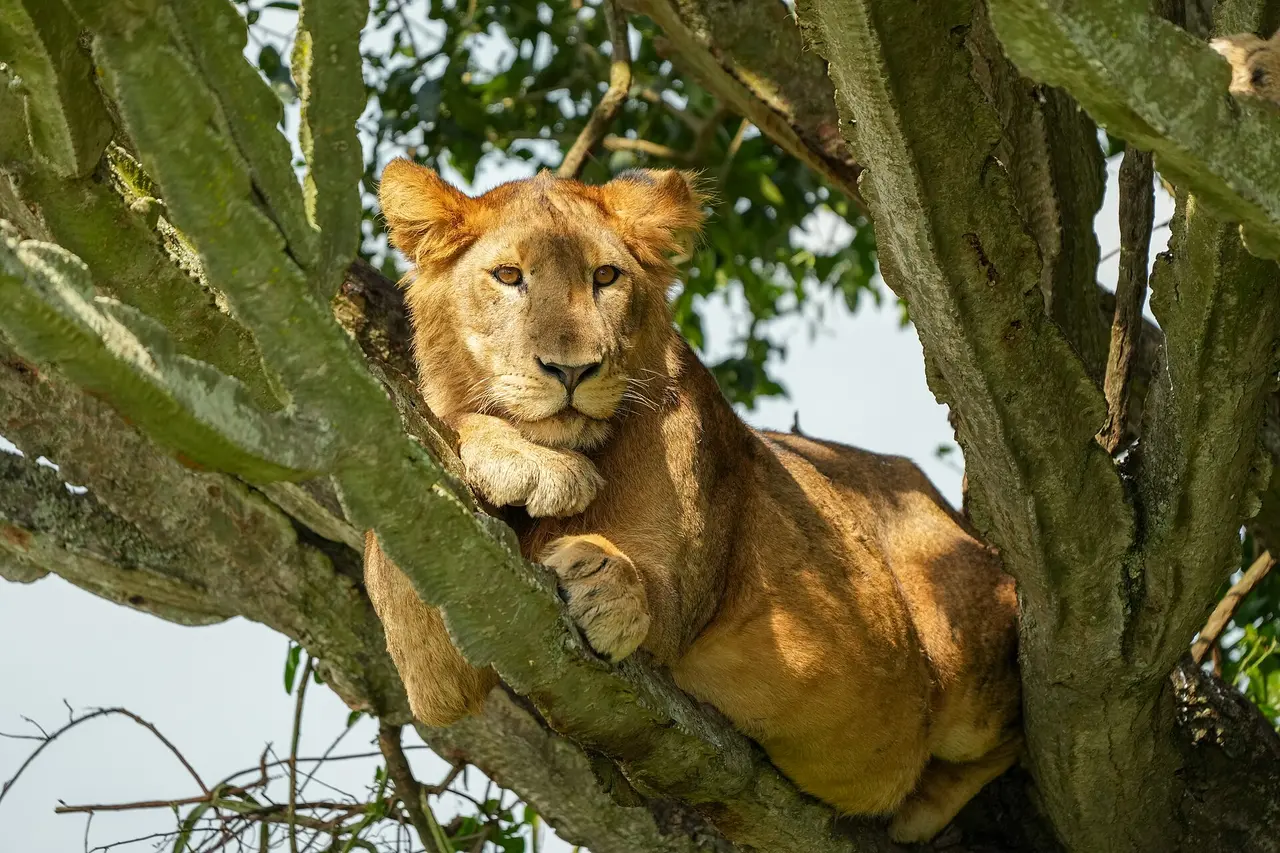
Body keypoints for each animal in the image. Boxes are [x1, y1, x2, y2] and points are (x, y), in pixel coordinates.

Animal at [365, 160, 1022, 843]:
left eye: (605, 277)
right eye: (508, 276)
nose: (571, 371)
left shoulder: (681, 605)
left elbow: (652, 595)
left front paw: (598, 573)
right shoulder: (449, 645)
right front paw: (523, 463)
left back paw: (920, 808)